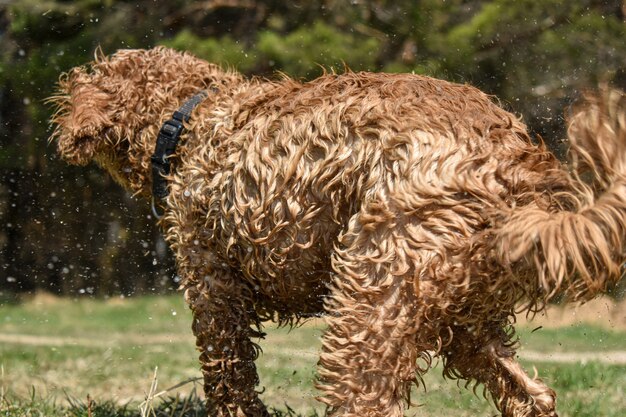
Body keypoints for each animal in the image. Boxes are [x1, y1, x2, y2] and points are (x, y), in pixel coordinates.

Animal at [50, 45, 624, 416]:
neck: (189, 119)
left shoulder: (214, 286)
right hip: (462, 315)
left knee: (365, 399)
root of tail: (513, 167)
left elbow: (229, 378)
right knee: (532, 395)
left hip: (374, 295)